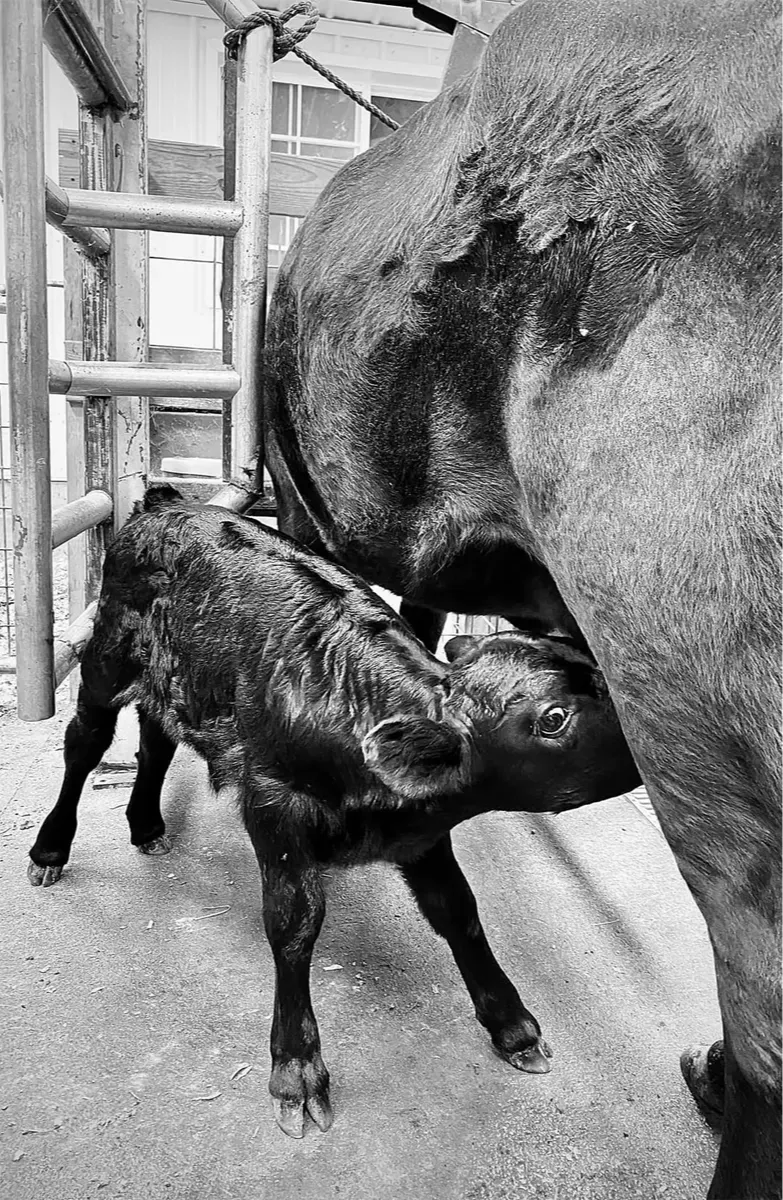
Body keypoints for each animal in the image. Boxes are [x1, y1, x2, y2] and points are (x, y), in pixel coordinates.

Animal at [27, 487, 639, 1138]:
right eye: (554, 718)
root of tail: (164, 503)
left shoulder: (423, 834)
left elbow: (459, 911)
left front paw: (512, 1024)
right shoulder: (274, 804)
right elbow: (294, 924)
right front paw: (296, 1071)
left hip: (177, 678)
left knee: (157, 735)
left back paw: (146, 824)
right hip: (107, 657)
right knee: (85, 741)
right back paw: (50, 849)